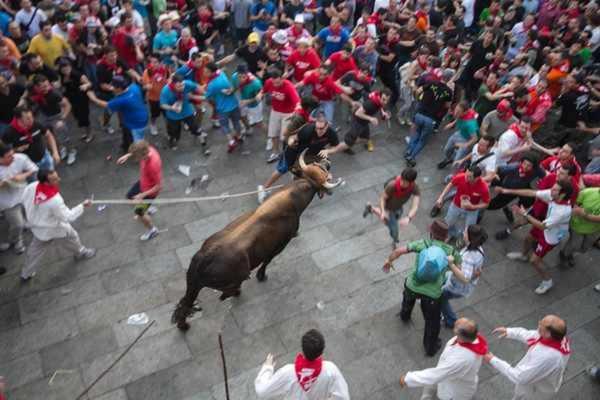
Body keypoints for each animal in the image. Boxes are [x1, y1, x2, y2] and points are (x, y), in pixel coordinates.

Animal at [171, 151, 344, 332]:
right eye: (321, 168)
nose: (326, 160)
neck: (293, 197)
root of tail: (205, 258)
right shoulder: (280, 244)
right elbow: (267, 260)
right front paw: (261, 276)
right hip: (231, 278)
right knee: (227, 291)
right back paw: (235, 291)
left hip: (192, 283)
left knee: (186, 303)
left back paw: (183, 325)